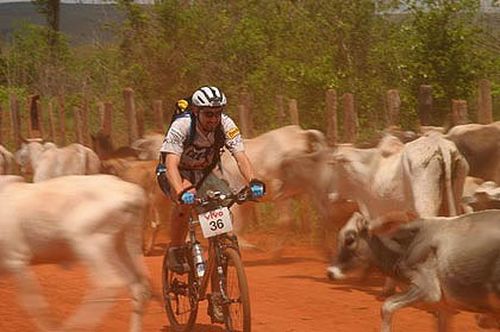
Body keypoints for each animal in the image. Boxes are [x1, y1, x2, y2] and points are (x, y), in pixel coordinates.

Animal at [0, 175, 150, 330]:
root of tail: (132, 191)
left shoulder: (16, 259)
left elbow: (33, 302)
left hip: (88, 243)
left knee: (109, 283)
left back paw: (73, 326)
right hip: (124, 246)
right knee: (138, 285)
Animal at [328, 210, 500, 332]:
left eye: (350, 239)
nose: (330, 273)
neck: (408, 245)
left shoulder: (426, 290)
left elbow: (386, 307)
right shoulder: (444, 305)